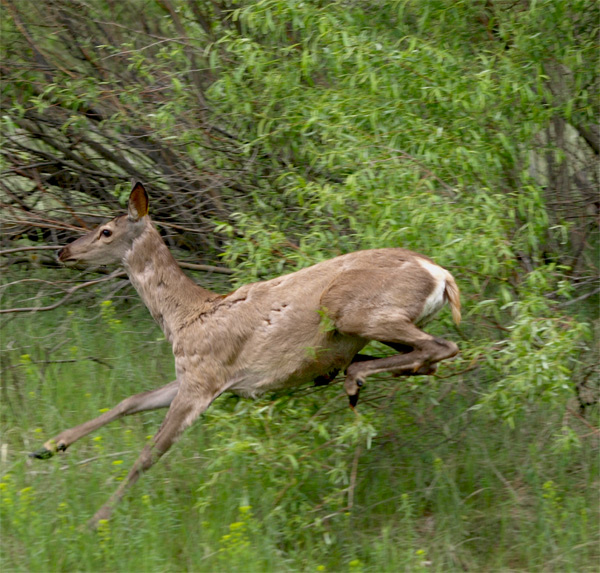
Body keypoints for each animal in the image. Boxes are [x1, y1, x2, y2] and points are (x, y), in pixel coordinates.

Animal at [30, 181, 460, 524]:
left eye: (105, 231)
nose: (64, 251)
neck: (183, 317)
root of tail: (442, 275)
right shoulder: (192, 375)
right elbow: (129, 401)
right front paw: (48, 446)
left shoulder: (203, 381)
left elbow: (149, 454)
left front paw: (95, 521)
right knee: (425, 360)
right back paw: (349, 371)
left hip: (356, 311)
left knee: (442, 346)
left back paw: (352, 378)